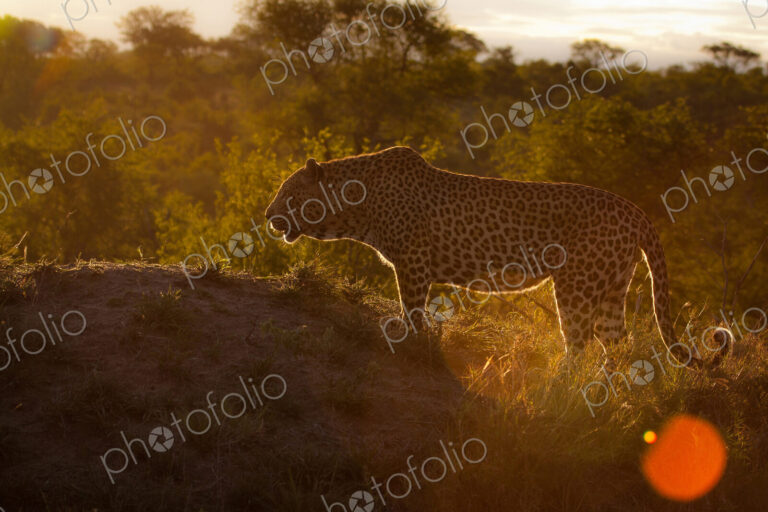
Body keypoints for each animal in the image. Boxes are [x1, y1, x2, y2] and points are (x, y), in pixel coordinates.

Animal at [265, 146, 729, 368]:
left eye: (288, 193)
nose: (268, 217)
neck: (357, 207)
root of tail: (636, 210)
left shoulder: (413, 264)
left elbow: (412, 312)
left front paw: (416, 345)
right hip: (612, 287)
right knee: (617, 345)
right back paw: (612, 395)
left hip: (577, 287)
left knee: (578, 343)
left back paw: (558, 390)